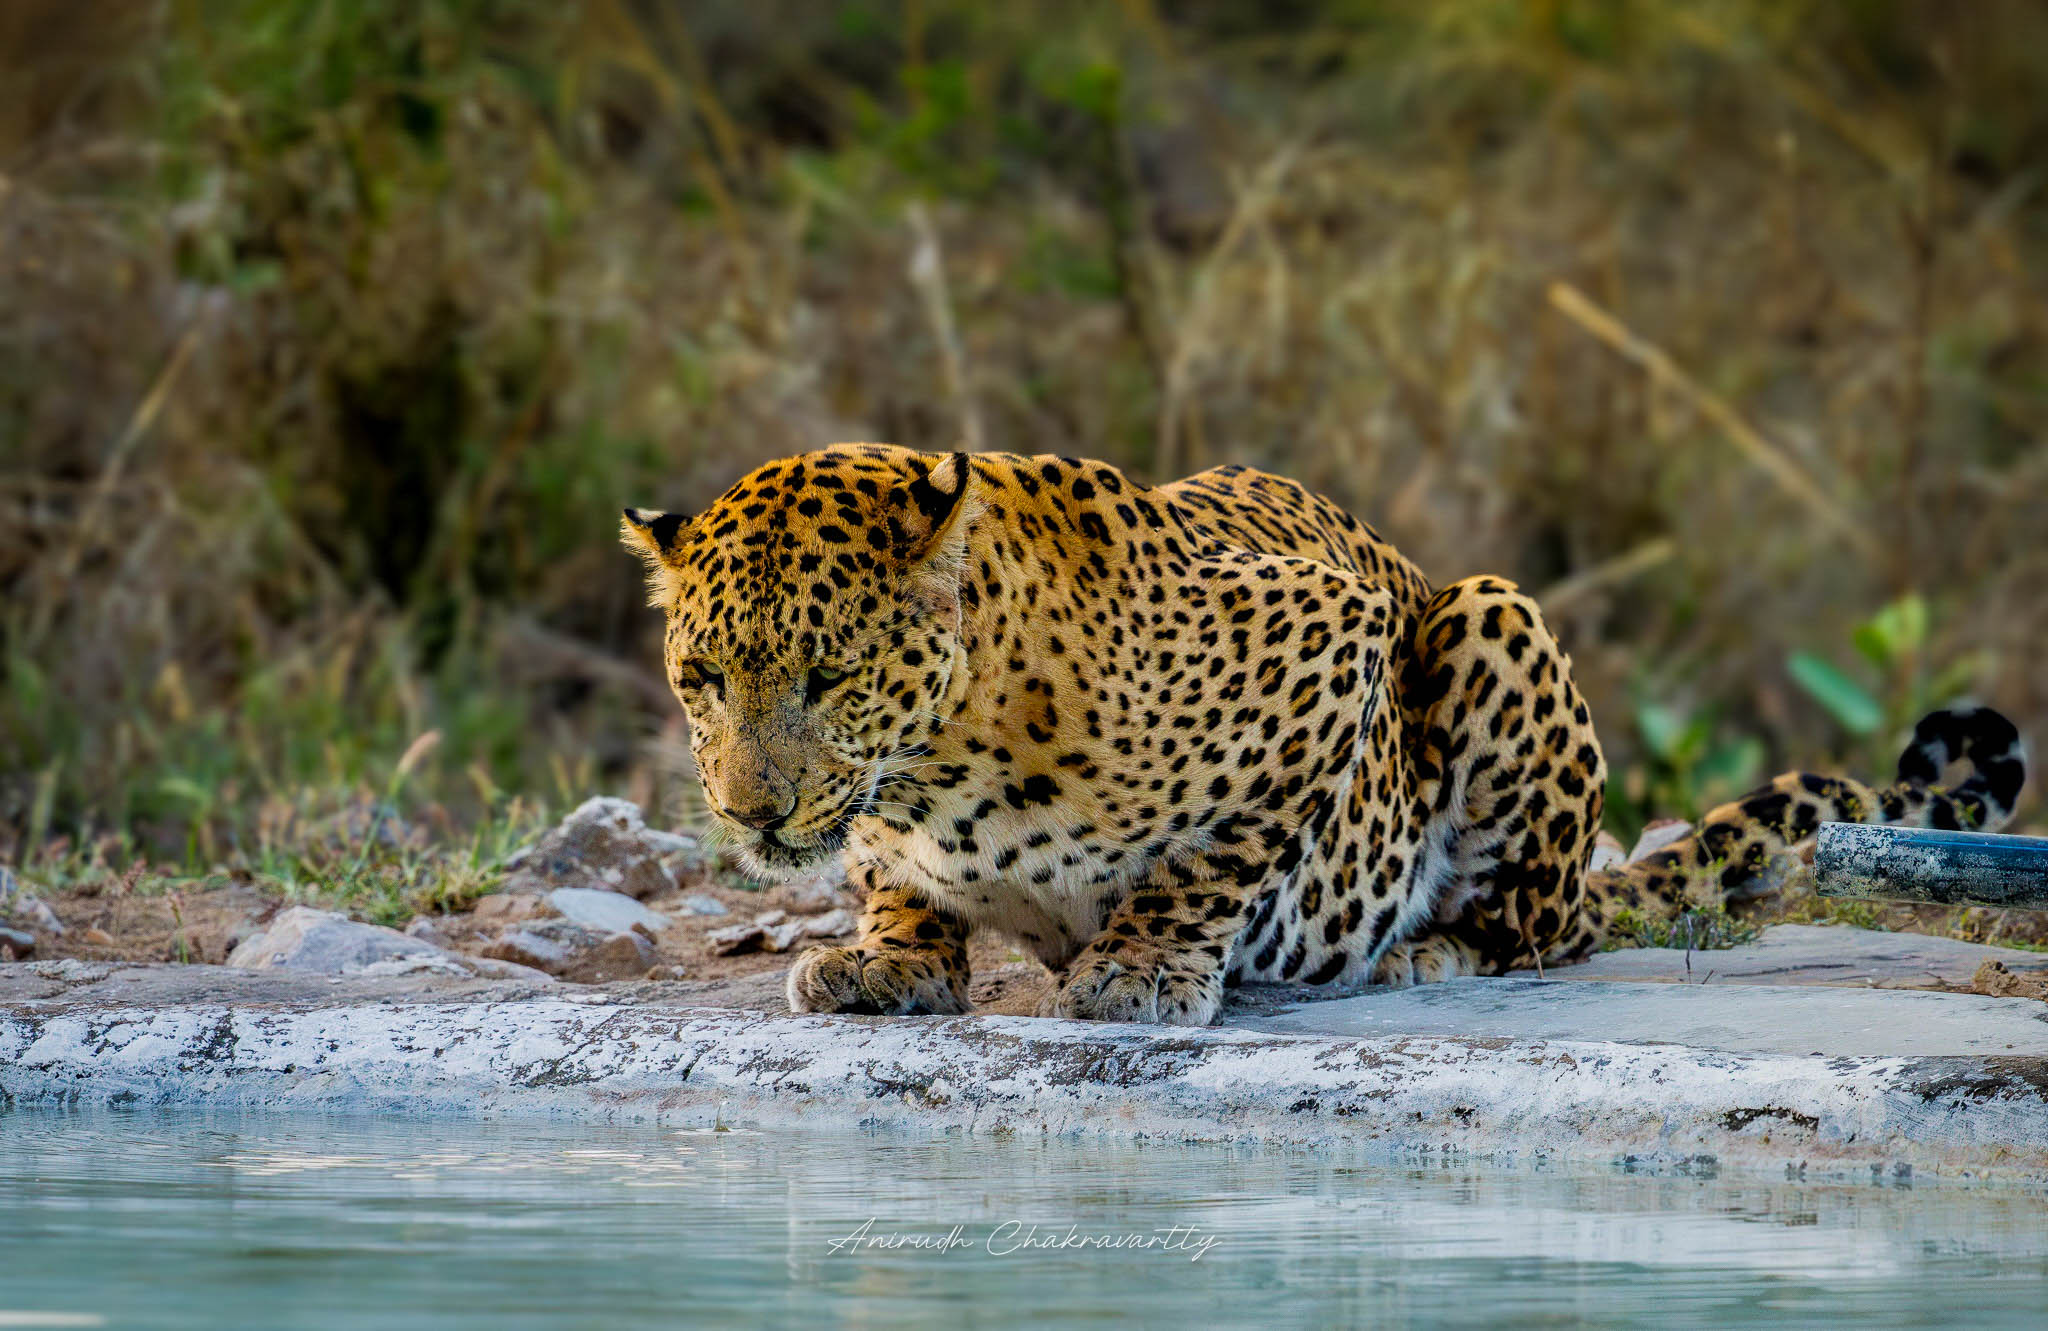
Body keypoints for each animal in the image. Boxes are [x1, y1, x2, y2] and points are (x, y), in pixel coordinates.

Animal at [622, 444, 2028, 1025]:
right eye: (701, 679)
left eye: (829, 675)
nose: (747, 814)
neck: (937, 766)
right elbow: (889, 880)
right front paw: (887, 957)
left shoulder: (1323, 642)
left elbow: (1210, 858)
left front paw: (1140, 968)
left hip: (1485, 614)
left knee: (1547, 928)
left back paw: (1423, 953)